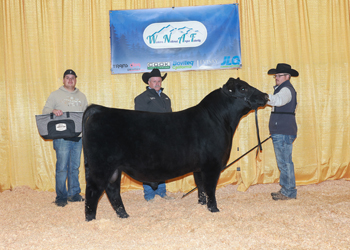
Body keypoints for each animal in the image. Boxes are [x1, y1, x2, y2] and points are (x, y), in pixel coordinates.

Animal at [82, 77, 268, 221]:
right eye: (243, 88)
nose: (266, 95)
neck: (219, 120)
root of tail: (102, 110)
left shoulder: (199, 167)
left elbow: (200, 187)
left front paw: (201, 204)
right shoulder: (212, 165)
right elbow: (210, 188)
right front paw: (213, 209)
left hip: (114, 169)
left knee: (112, 191)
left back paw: (124, 215)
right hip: (101, 166)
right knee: (93, 191)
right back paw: (91, 220)